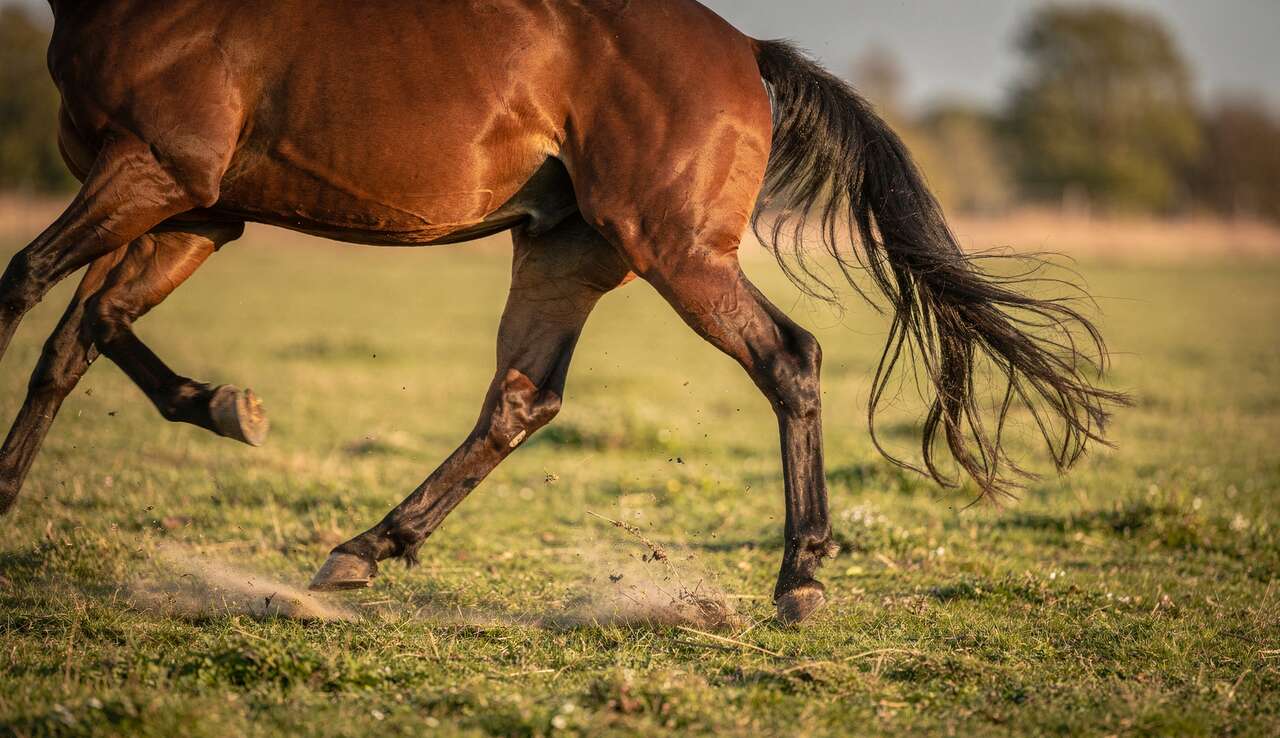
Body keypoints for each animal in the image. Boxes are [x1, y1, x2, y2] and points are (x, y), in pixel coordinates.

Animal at [0, 0, 1124, 623]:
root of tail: (745, 49)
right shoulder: (198, 207)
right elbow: (80, 334)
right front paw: (222, 408)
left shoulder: (156, 169)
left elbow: (24, 286)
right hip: (562, 251)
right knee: (521, 399)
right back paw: (366, 548)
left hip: (673, 250)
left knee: (789, 359)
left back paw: (798, 582)